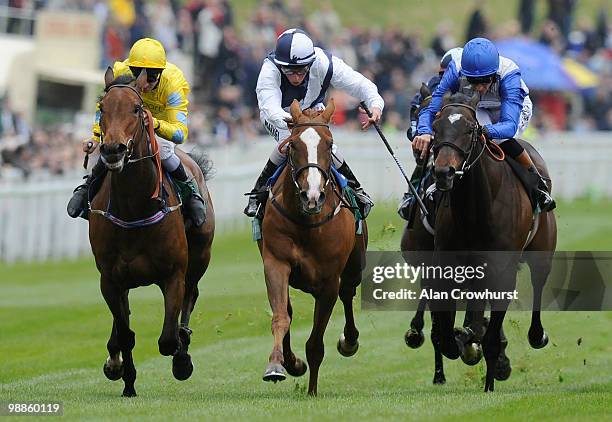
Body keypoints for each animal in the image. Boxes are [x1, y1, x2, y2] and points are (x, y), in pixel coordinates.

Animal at [88, 67, 215, 398]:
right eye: (101, 108)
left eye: (136, 109)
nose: (113, 150)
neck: (134, 208)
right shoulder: (109, 278)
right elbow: (126, 333)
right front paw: (126, 380)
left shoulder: (173, 275)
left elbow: (168, 339)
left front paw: (182, 360)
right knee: (124, 317)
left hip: (199, 258)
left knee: (191, 297)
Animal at [258, 99, 368, 396]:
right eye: (293, 145)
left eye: (329, 145)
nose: (312, 196)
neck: (306, 221)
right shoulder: (276, 263)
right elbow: (281, 316)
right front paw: (278, 365)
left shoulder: (329, 280)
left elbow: (316, 343)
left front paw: (312, 391)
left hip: (354, 265)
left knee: (348, 293)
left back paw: (349, 341)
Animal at [404, 93, 556, 392]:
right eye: (435, 126)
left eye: (469, 130)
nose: (444, 172)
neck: (477, 208)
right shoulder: (444, 264)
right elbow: (444, 328)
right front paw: (461, 339)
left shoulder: (503, 271)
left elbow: (491, 337)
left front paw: (490, 380)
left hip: (543, 252)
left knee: (539, 283)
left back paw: (536, 335)